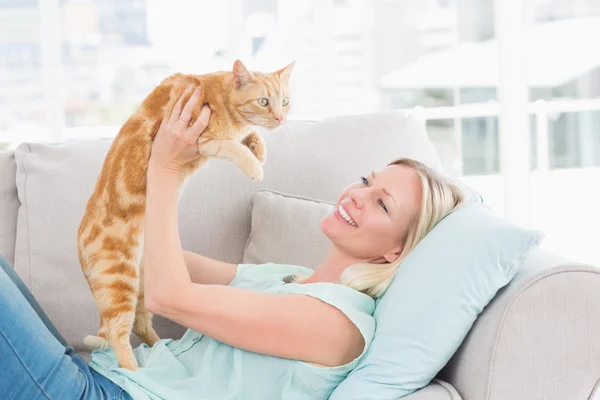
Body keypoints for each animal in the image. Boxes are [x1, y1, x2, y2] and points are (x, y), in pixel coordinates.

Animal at [78, 60, 294, 372]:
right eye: (264, 102)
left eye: (285, 101)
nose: (280, 118)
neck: (220, 98)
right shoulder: (203, 139)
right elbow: (232, 145)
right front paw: (254, 163)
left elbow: (249, 136)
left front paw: (258, 147)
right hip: (119, 281)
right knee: (118, 334)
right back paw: (135, 370)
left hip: (143, 284)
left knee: (141, 324)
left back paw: (159, 349)